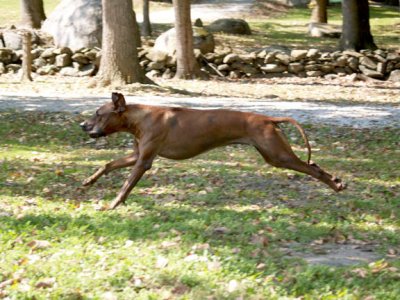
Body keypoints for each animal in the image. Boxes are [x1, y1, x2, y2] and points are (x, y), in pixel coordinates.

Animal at [80, 92, 344, 210]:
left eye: (98, 114)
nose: (82, 125)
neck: (140, 118)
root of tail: (268, 118)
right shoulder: (137, 155)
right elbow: (107, 165)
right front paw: (89, 180)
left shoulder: (144, 161)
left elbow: (125, 185)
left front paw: (113, 204)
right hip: (272, 155)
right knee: (313, 165)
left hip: (279, 155)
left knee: (313, 169)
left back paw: (336, 185)